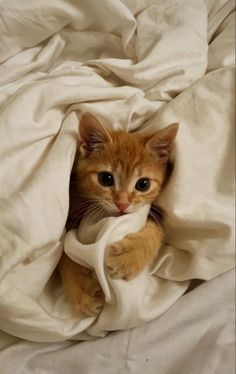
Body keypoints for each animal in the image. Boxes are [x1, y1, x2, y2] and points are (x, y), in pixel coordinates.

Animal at [58, 113, 178, 316]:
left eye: (143, 184)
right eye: (105, 179)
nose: (122, 203)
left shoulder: (153, 211)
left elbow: (155, 230)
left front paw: (129, 256)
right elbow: (64, 254)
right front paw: (80, 288)